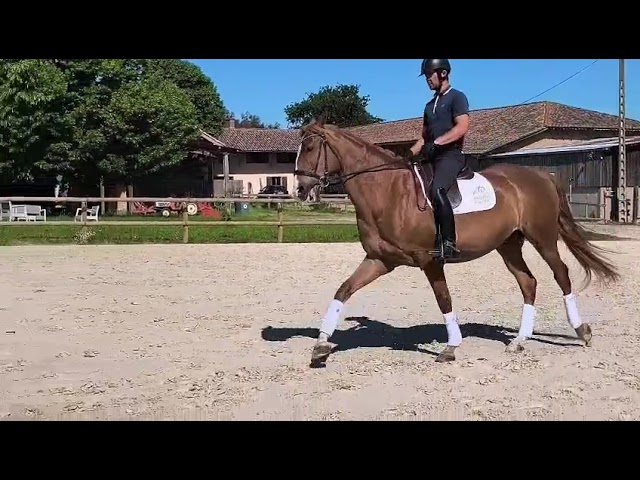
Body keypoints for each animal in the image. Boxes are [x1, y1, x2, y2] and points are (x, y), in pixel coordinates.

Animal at [293, 116, 621, 367]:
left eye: (309, 146)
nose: (300, 189)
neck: (388, 192)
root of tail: (541, 176)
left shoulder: (429, 259)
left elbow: (444, 299)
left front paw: (451, 347)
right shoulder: (379, 260)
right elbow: (343, 291)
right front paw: (320, 347)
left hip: (542, 238)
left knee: (561, 274)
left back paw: (582, 331)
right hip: (509, 245)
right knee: (528, 283)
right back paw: (519, 341)